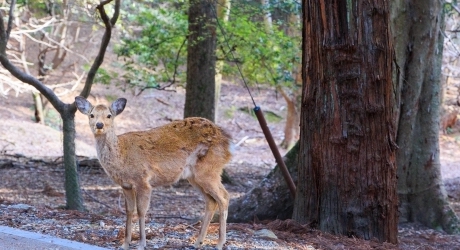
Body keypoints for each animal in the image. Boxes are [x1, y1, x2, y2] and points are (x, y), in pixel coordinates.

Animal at [76, 96, 234, 250]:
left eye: (109, 115)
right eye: (91, 115)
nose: (99, 125)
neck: (121, 155)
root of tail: (227, 142)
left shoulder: (143, 180)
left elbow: (141, 211)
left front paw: (141, 244)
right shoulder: (125, 185)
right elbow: (129, 210)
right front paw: (125, 244)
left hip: (209, 169)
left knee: (224, 197)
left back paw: (220, 243)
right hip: (194, 176)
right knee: (211, 201)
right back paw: (197, 243)